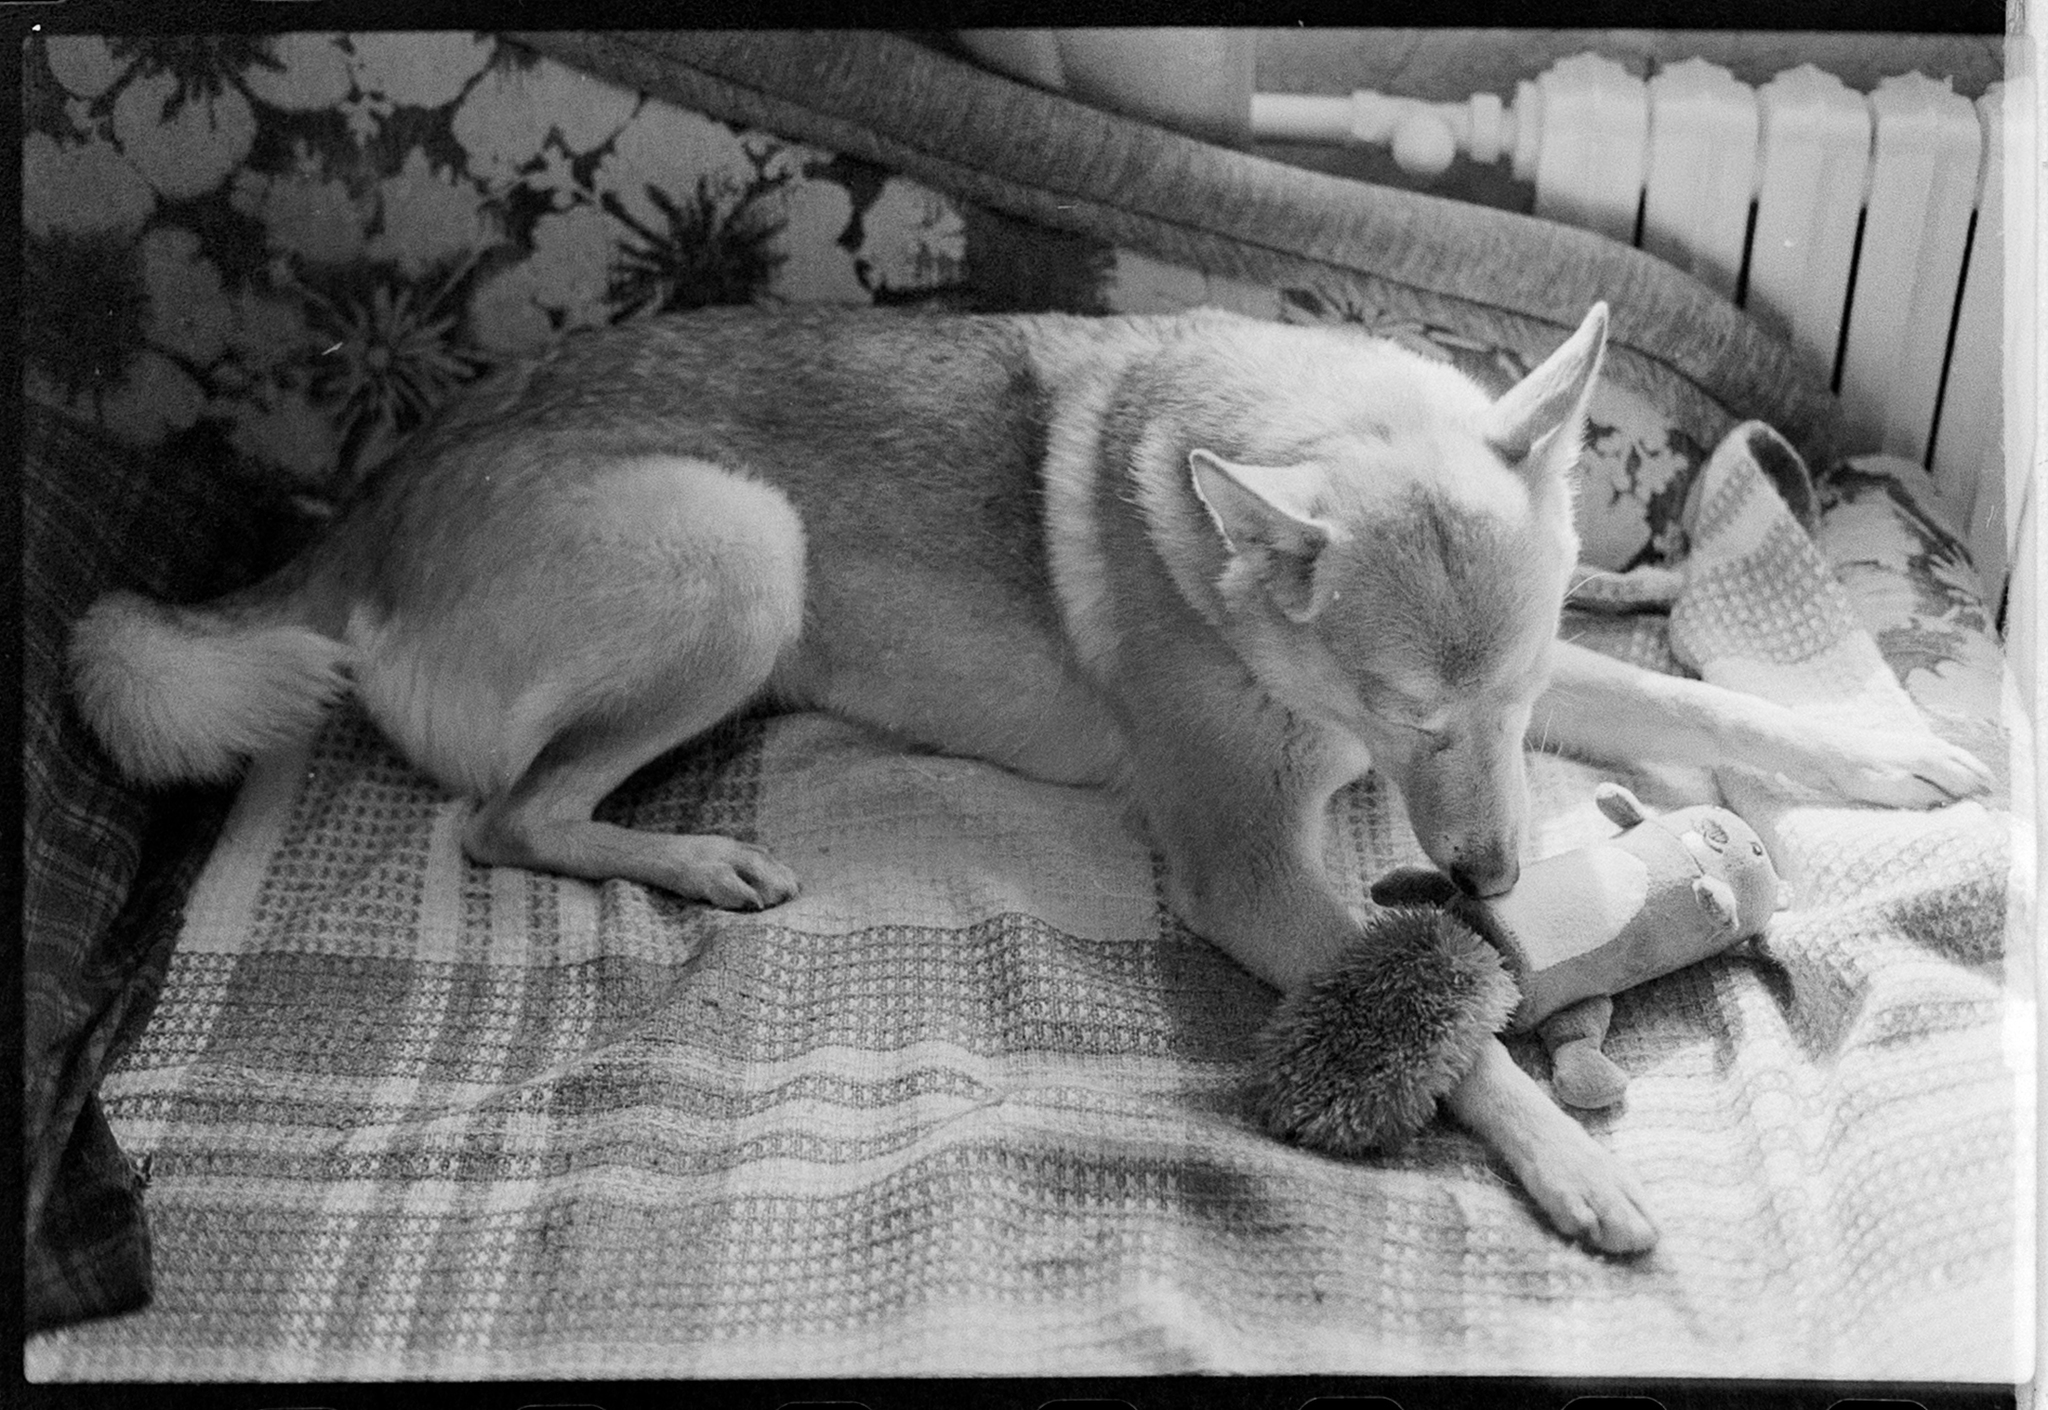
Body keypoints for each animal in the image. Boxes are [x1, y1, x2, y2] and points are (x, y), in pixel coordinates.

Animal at [72, 303, 1990, 1254]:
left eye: (1506, 701)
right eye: (1397, 710)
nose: (1501, 885)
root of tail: (374, 499)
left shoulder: (1541, 696)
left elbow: (1694, 701)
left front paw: (1879, 756)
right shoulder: (1245, 867)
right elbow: (1444, 1028)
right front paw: (1559, 1152)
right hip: (741, 550)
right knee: (502, 818)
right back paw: (688, 865)